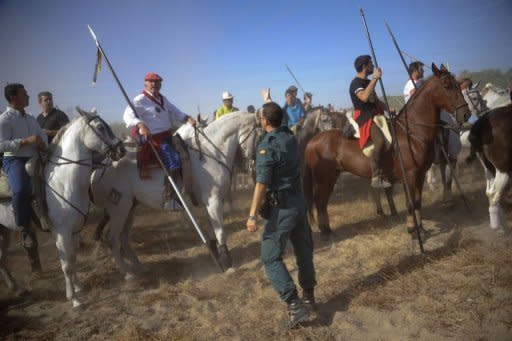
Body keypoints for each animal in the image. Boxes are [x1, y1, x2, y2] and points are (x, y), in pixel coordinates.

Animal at [0, 107, 124, 306]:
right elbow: (66, 265)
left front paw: (78, 286)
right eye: (100, 127)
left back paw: (17, 288)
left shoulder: (74, 230)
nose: (121, 149)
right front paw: (74, 299)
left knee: (2, 259)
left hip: (5, 231)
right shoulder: (62, 232)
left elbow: (72, 258)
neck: (63, 181)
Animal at [90, 111, 260, 274]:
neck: (210, 154)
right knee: (113, 239)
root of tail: (99, 171)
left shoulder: (209, 205)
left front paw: (218, 257)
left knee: (124, 238)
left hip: (129, 209)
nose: (253, 163)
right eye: (259, 133)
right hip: (119, 209)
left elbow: (213, 231)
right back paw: (128, 274)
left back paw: (140, 267)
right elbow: (220, 233)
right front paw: (227, 263)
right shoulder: (213, 201)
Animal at [302, 65, 470, 238]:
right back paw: (325, 231)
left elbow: (417, 201)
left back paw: (327, 229)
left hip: (331, 177)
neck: (412, 132)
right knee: (319, 201)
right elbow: (411, 202)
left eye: (458, 85)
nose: (466, 114)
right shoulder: (410, 175)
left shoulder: (420, 174)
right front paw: (413, 230)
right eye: (446, 86)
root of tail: (312, 141)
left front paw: (420, 229)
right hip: (324, 178)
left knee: (322, 202)